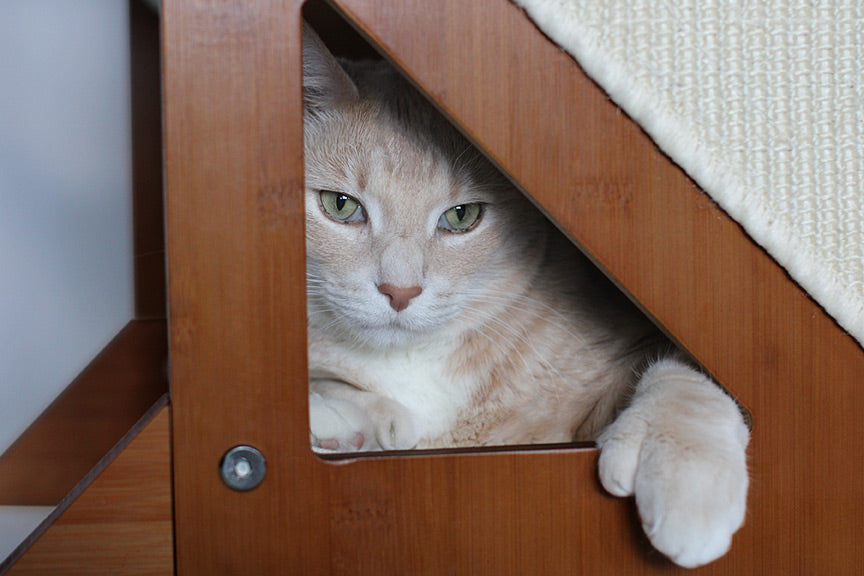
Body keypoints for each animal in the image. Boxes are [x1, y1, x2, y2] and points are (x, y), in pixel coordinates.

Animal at [304, 22, 748, 568]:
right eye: (340, 205)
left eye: (461, 216)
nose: (400, 290)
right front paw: (344, 422)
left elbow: (681, 376)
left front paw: (689, 472)